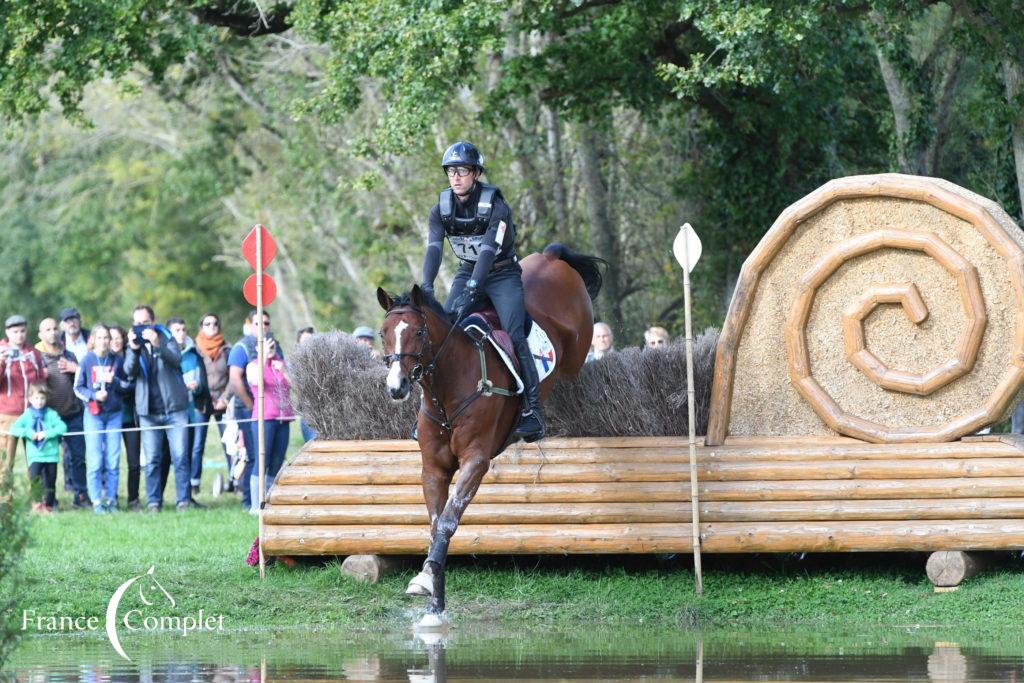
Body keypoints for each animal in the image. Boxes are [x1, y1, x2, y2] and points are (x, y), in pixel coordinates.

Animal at [374, 242, 598, 618]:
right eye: (383, 334)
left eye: (418, 332)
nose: (396, 387)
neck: (446, 391)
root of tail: (551, 256)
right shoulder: (433, 469)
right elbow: (435, 523)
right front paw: (434, 599)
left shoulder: (476, 461)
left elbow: (448, 520)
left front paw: (426, 577)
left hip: (576, 344)